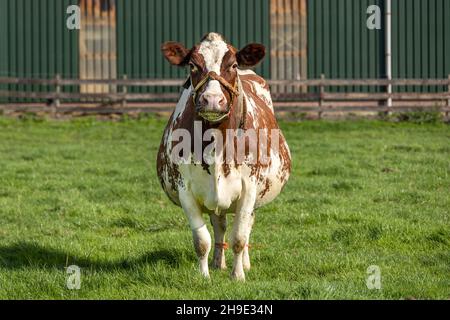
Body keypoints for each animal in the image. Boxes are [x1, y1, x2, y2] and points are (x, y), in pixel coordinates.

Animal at [157, 32, 292, 280]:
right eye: (192, 65)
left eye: (233, 65)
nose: (212, 100)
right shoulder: (185, 189)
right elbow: (202, 240)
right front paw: (204, 276)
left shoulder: (249, 187)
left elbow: (239, 236)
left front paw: (238, 275)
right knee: (219, 225)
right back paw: (218, 262)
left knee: (246, 226)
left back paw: (244, 263)